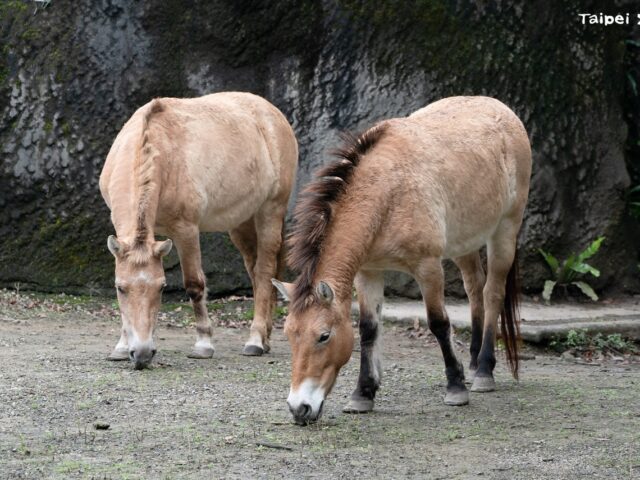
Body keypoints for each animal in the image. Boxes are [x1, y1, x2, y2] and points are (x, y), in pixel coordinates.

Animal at [99, 92, 298, 369]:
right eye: (120, 288)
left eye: (162, 287)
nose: (142, 354)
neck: (160, 153)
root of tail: (272, 113)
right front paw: (120, 347)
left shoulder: (186, 231)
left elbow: (194, 284)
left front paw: (204, 345)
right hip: (241, 222)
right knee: (256, 270)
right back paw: (266, 338)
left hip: (270, 211)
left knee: (264, 270)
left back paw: (256, 340)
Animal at [273, 96, 531, 424]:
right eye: (289, 334)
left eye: (323, 336)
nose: (299, 408)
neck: (386, 193)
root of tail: (502, 110)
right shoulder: (368, 272)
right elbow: (369, 328)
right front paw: (363, 394)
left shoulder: (428, 267)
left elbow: (438, 323)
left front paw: (456, 388)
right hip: (464, 243)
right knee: (475, 289)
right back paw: (474, 363)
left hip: (505, 230)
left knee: (492, 292)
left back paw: (484, 371)